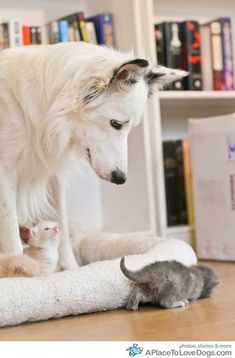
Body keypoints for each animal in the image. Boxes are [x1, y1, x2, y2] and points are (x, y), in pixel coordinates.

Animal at [0, 42, 187, 268]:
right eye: (115, 123)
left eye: (130, 127)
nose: (121, 179)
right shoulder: (5, 174)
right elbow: (12, 235)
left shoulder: (54, 174)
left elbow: (62, 227)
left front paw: (71, 269)